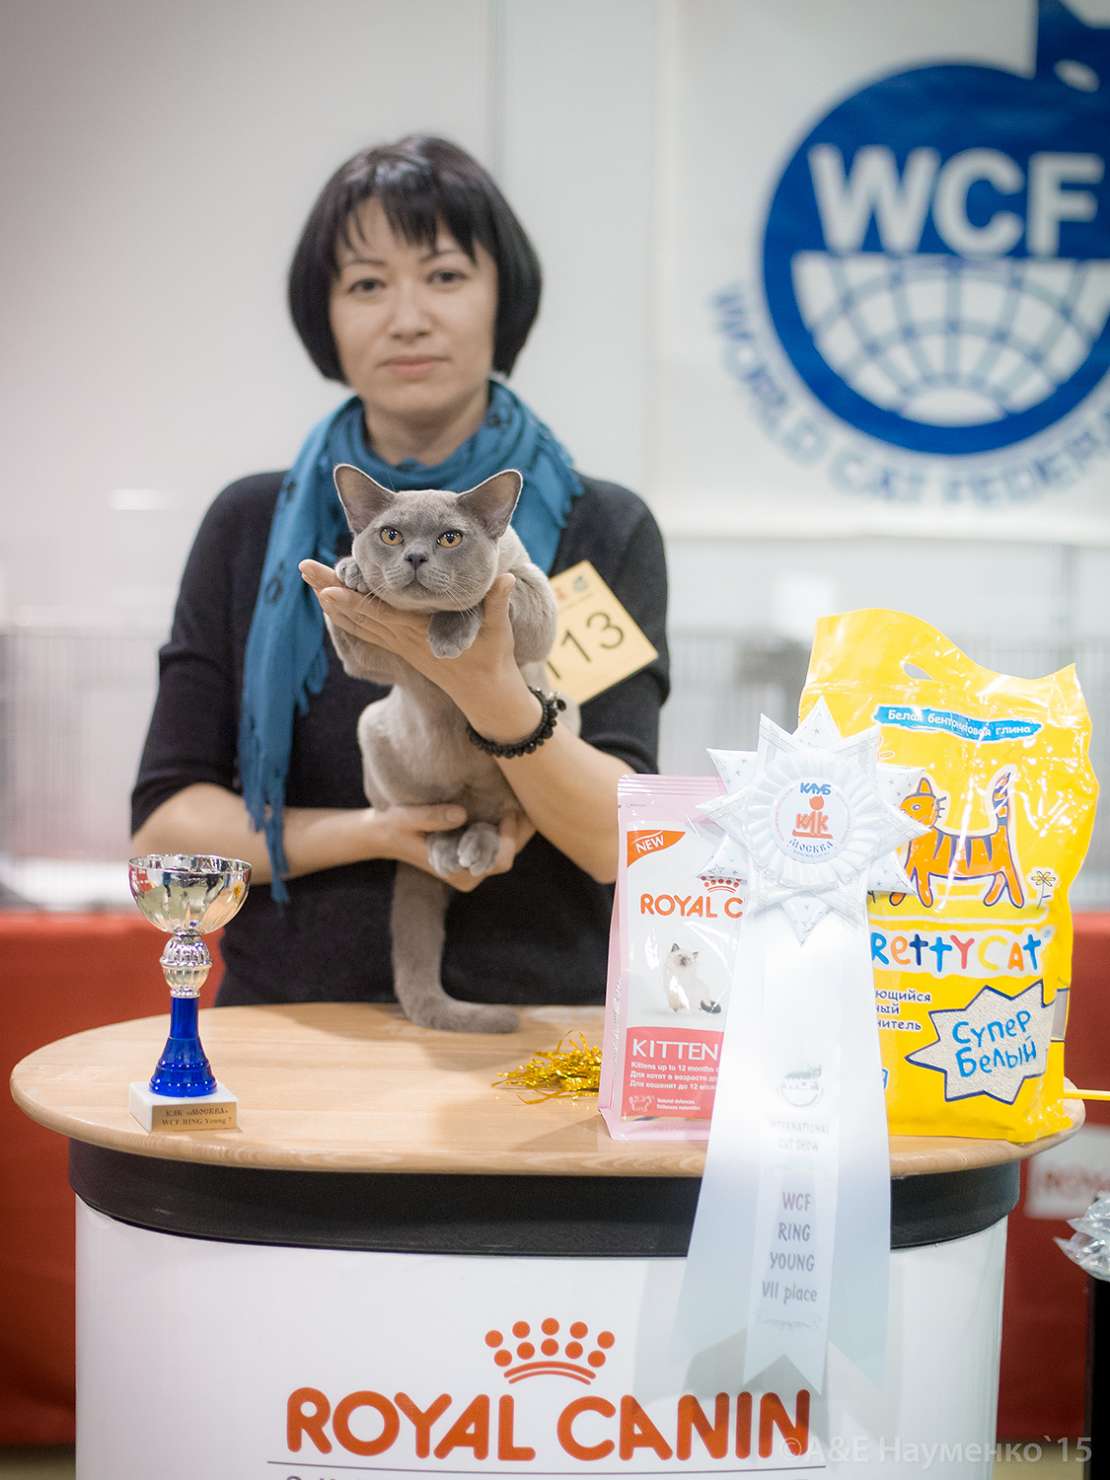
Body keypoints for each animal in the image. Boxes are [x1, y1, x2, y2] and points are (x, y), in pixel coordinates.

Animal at [323, 463, 575, 1033]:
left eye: (449, 539)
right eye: (391, 535)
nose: (416, 557)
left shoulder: (534, 603)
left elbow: (486, 596)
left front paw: (448, 637)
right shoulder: (373, 664)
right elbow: (351, 635)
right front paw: (351, 572)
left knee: (486, 818)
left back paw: (473, 849)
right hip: (376, 730)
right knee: (437, 819)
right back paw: (445, 848)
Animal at [890, 771, 1025, 909]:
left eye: (916, 807)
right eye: (902, 808)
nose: (902, 814)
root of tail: (999, 831)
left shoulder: (923, 867)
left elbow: (922, 884)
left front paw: (926, 901)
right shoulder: (912, 863)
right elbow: (906, 878)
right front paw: (896, 897)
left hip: (1006, 864)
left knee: (1010, 877)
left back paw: (1017, 900)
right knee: (999, 878)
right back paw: (990, 899)